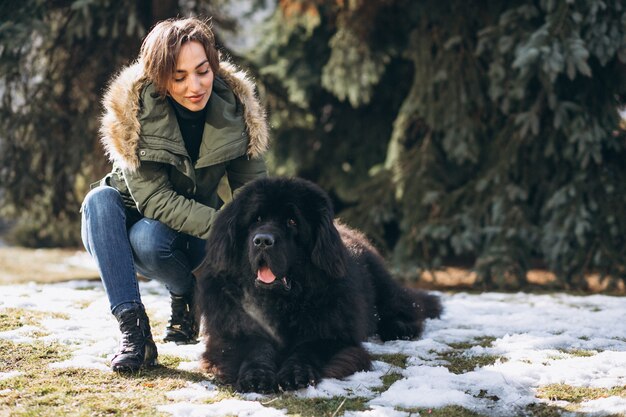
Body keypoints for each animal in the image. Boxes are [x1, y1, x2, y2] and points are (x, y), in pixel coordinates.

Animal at [195, 177, 438, 392]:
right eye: (256, 219)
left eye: (292, 221)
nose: (263, 240)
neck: (280, 302)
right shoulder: (232, 333)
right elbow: (255, 348)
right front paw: (256, 376)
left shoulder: (331, 334)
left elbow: (308, 348)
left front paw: (295, 373)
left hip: (383, 285)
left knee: (404, 306)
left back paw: (400, 327)